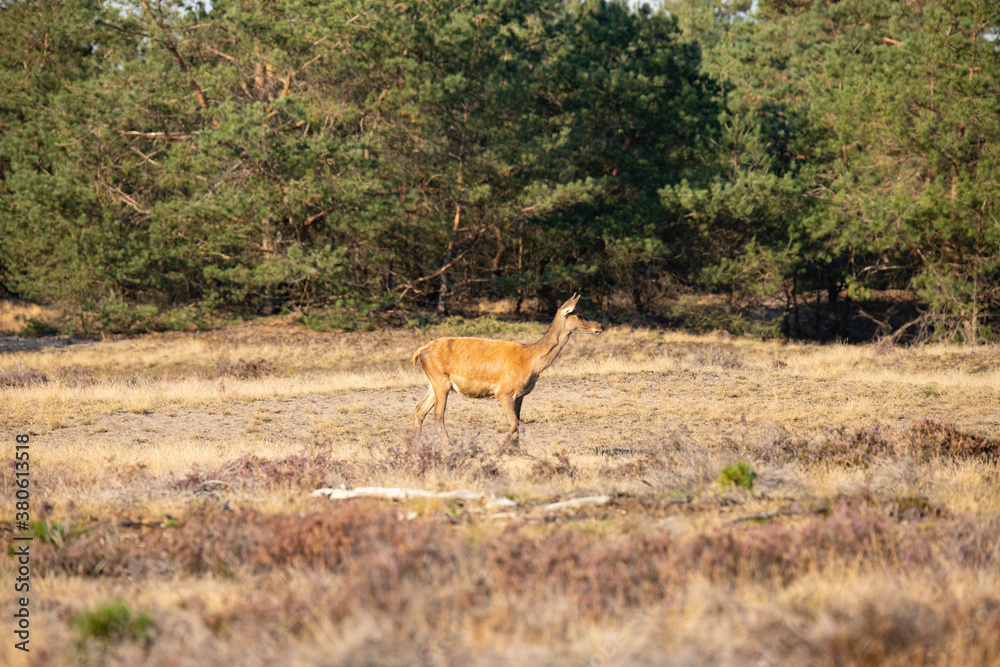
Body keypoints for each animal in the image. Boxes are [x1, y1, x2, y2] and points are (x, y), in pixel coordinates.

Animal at [411, 293, 604, 450]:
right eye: (580, 315)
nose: (601, 326)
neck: (531, 362)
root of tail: (420, 351)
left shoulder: (520, 394)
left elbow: (518, 423)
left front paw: (516, 450)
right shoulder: (504, 391)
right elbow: (515, 424)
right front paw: (496, 449)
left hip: (434, 384)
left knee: (420, 409)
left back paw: (418, 443)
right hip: (440, 380)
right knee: (438, 415)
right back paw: (449, 445)